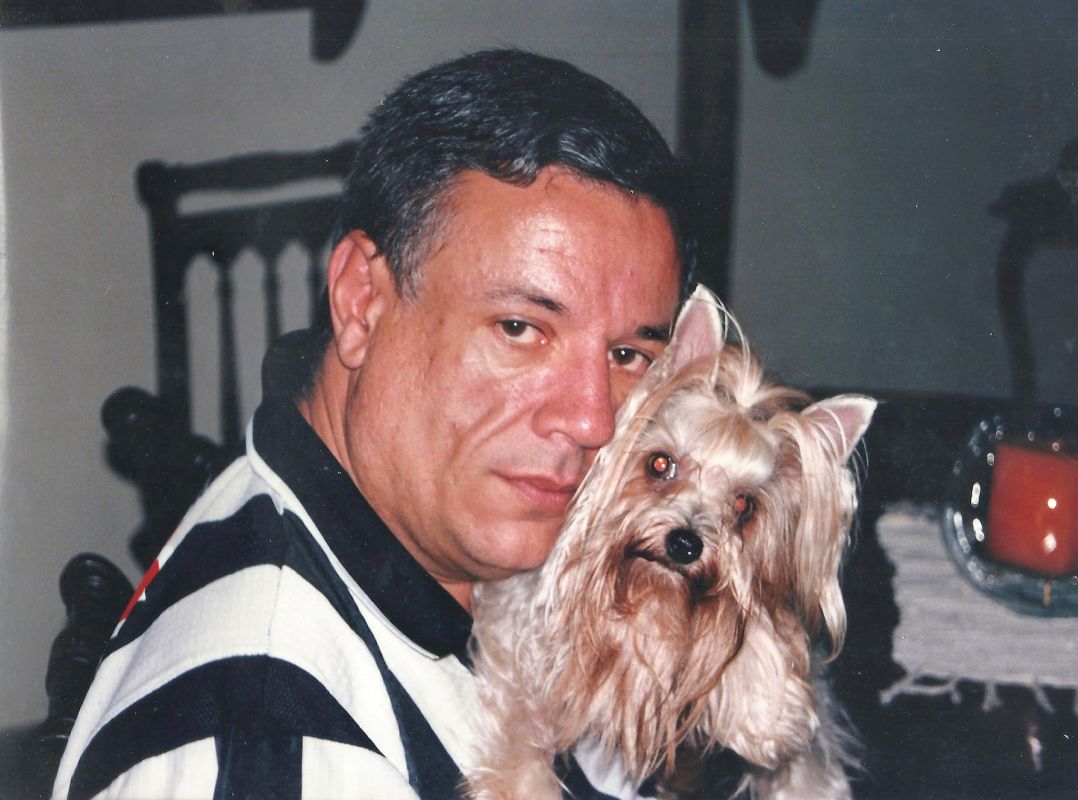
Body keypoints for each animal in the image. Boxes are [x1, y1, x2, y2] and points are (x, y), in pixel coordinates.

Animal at [465, 285, 875, 800]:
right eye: (660, 464)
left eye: (745, 505)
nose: (685, 544)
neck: (653, 591)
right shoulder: (519, 646)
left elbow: (756, 625)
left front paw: (766, 707)